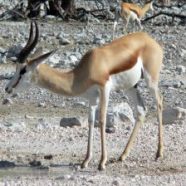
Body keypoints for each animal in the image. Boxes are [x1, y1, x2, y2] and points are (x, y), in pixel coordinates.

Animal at [5, 21, 163, 170]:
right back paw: (122, 156)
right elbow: (91, 122)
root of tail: (148, 38)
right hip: (130, 87)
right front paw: (85, 161)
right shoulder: (92, 98)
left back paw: (158, 153)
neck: (83, 72)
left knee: (159, 103)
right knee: (141, 110)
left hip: (151, 81)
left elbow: (102, 120)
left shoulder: (104, 89)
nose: (7, 88)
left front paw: (102, 162)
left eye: (23, 70)